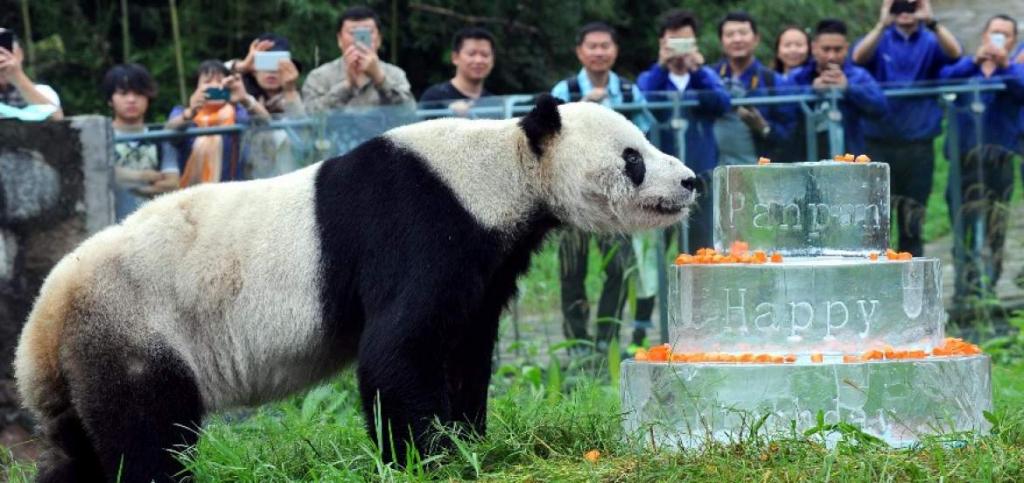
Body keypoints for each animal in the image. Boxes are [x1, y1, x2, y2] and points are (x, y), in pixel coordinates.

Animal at [14, 95, 696, 482]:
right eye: (634, 156)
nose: (689, 180)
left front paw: (468, 439)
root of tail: (41, 321)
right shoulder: (420, 221)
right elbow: (398, 348)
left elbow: (464, 345)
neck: (503, 168)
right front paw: (428, 458)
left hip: (86, 355)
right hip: (136, 326)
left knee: (78, 448)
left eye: (647, 142)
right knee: (147, 431)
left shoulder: (485, 259)